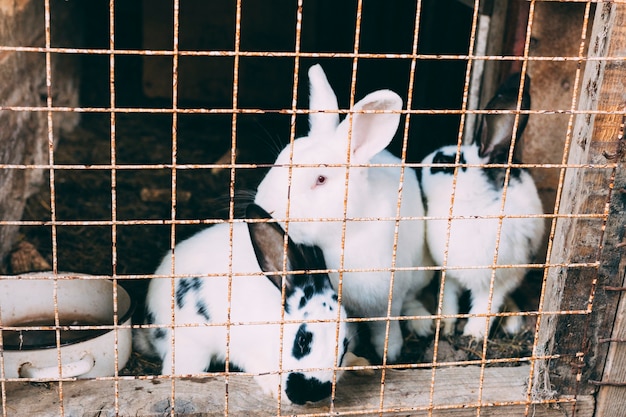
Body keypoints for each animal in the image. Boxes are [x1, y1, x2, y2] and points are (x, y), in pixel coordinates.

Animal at [251, 63, 432, 362]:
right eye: (282, 158)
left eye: (321, 179)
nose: (267, 205)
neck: (342, 238)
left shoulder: (388, 298)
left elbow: (387, 327)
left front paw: (390, 353)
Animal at [420, 72, 540, 338]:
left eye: (443, 161)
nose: (420, 165)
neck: (470, 204)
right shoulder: (450, 274)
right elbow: (449, 300)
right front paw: (445, 325)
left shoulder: (500, 280)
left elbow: (486, 307)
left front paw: (473, 335)